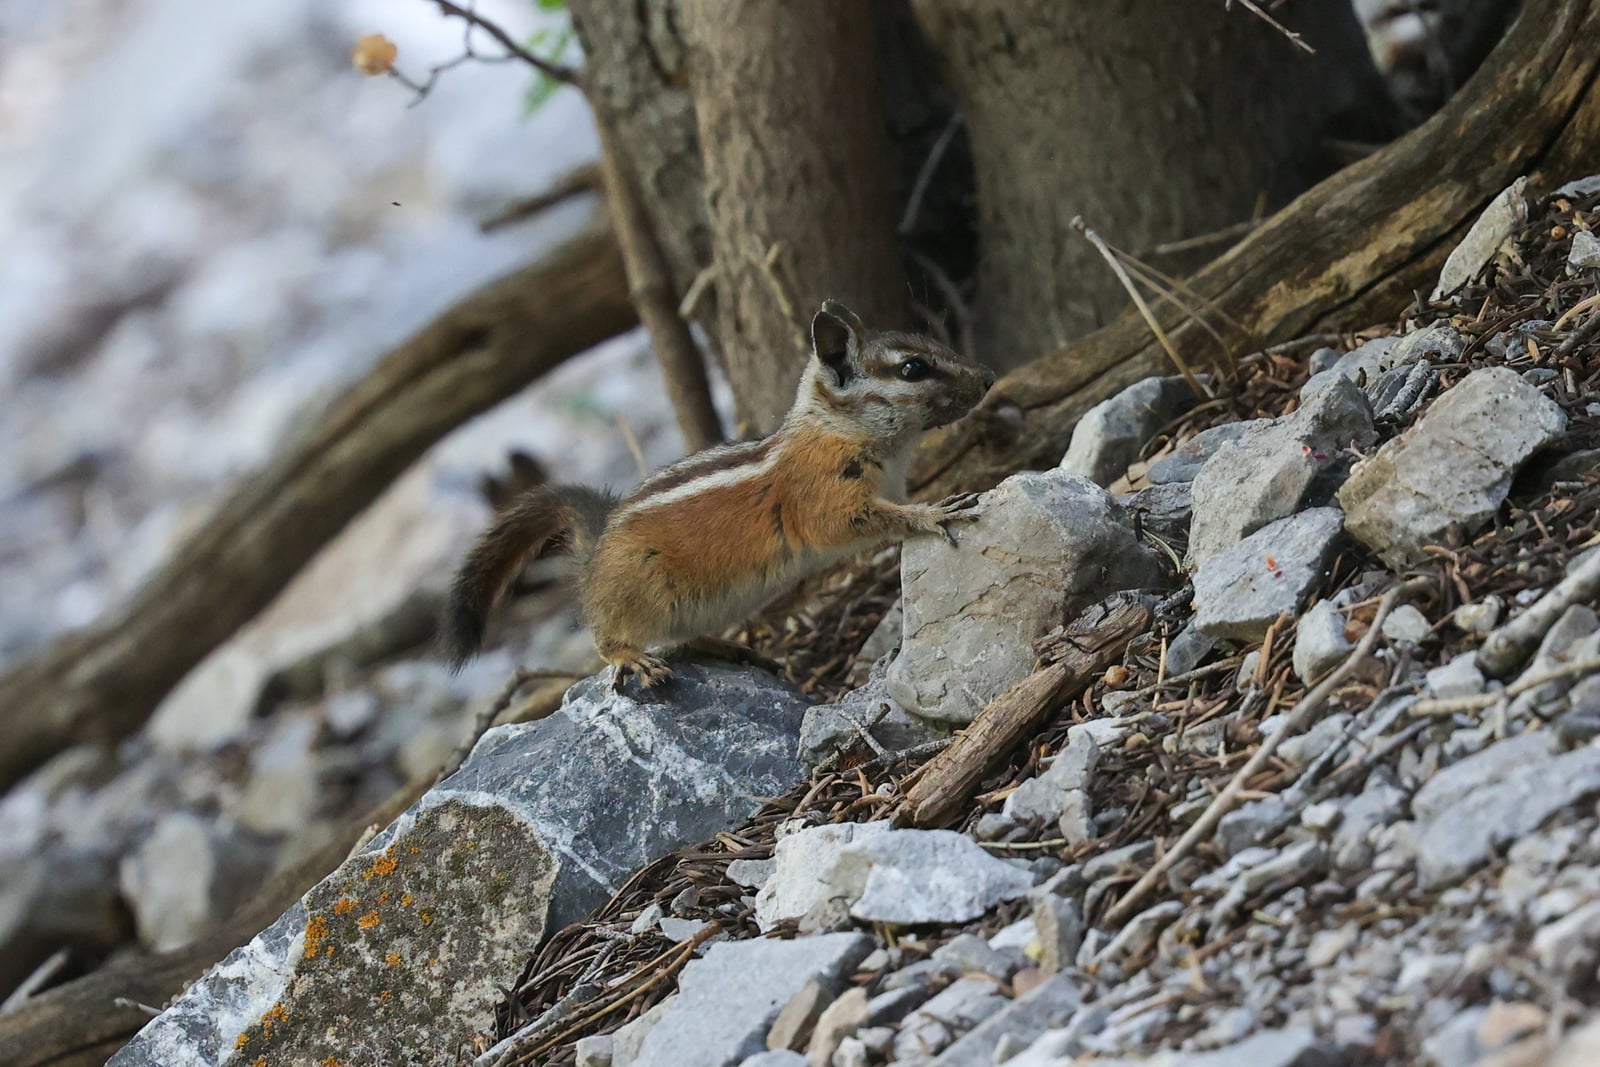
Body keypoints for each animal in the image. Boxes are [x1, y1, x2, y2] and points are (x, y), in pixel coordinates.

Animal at [442, 299, 996, 690]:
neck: (835, 428)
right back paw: (632, 656)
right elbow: (856, 522)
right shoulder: (824, 496)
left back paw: (727, 647)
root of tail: (595, 547)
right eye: (913, 369)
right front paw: (933, 514)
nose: (987, 377)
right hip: (638, 589)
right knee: (607, 638)